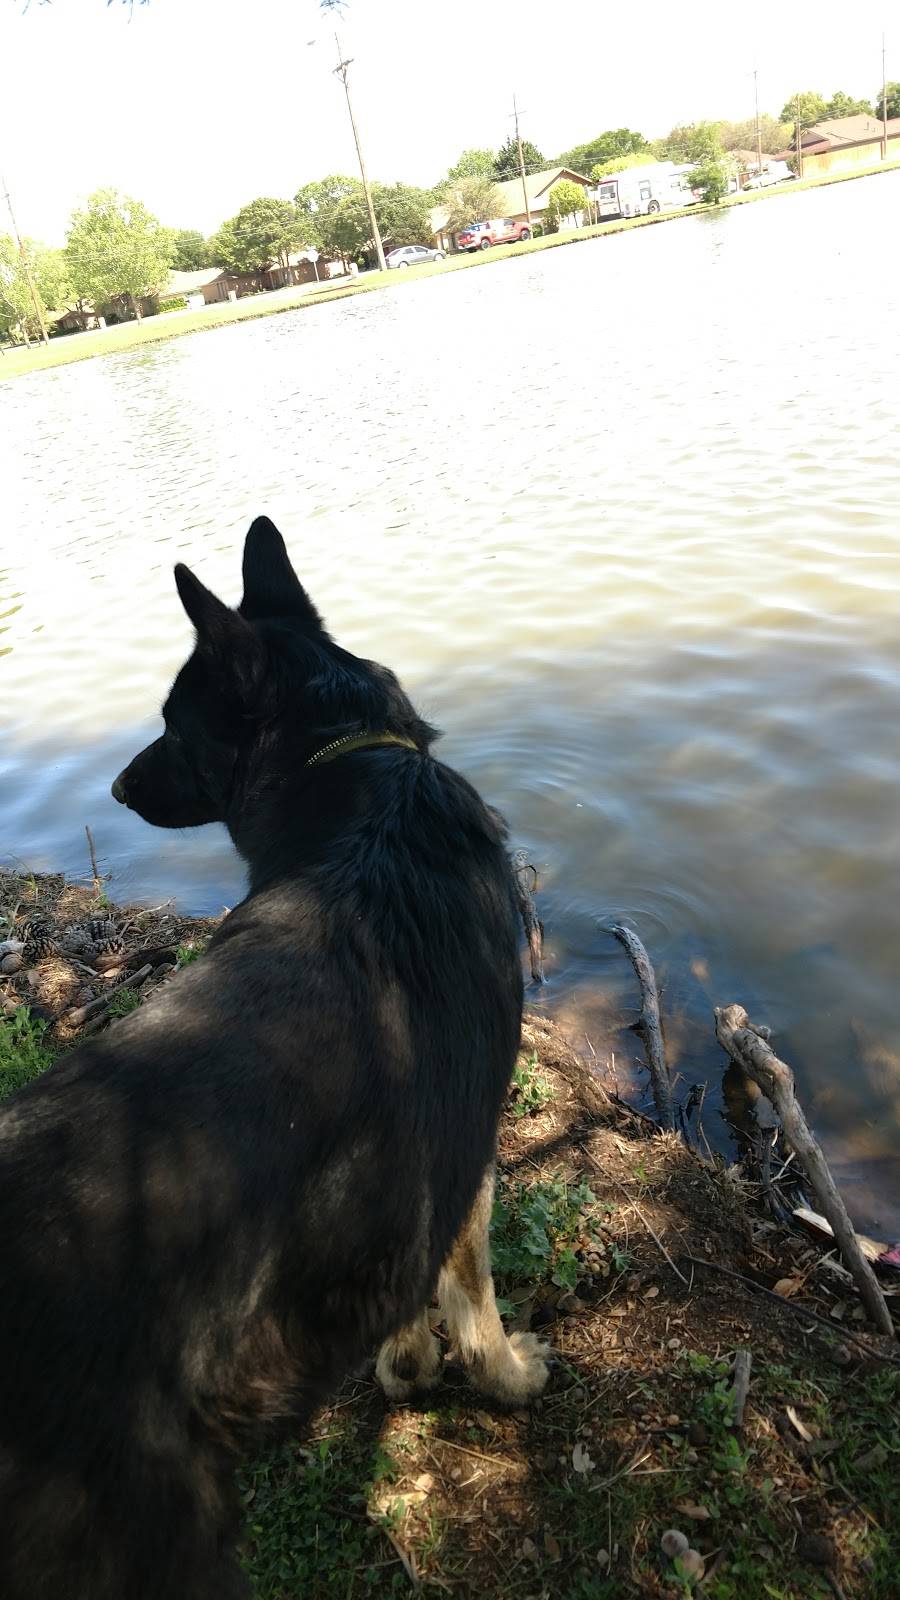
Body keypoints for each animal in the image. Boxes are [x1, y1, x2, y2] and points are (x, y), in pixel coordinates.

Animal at [0, 515, 547, 1600]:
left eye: (175, 723)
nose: (115, 786)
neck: (357, 776)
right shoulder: (468, 1161)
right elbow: (473, 1297)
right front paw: (498, 1376)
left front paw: (405, 1367)